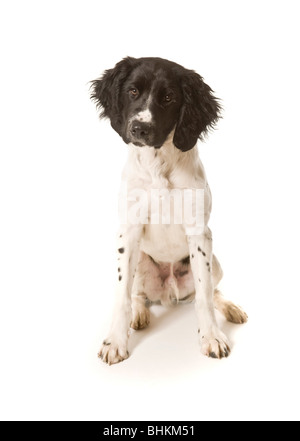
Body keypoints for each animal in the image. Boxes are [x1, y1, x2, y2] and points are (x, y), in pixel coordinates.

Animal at [90, 55, 247, 364]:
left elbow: (204, 296)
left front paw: (211, 336)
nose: (139, 129)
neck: (158, 164)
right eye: (133, 91)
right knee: (138, 295)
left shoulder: (200, 234)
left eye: (168, 97)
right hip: (140, 263)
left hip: (215, 262)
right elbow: (122, 297)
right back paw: (139, 315)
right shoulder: (128, 232)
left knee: (212, 289)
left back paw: (230, 308)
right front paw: (115, 341)